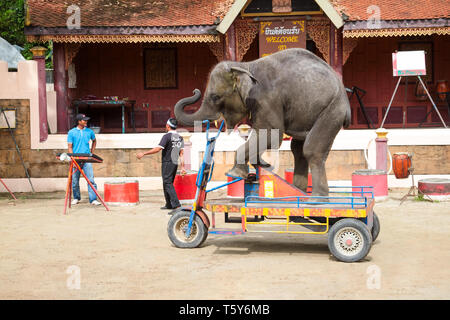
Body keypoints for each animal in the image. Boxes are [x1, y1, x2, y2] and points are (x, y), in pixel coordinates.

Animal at [175, 48, 352, 198]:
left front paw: (233, 173)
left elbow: (271, 135)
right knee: (298, 149)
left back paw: (316, 199)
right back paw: (298, 192)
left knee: (311, 150)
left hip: (333, 110)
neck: (244, 66)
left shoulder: (266, 99)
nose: (195, 91)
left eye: (215, 97)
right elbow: (262, 135)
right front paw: (263, 166)